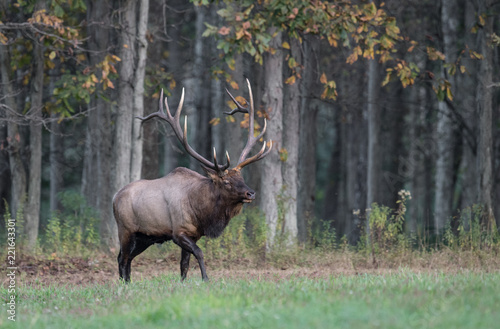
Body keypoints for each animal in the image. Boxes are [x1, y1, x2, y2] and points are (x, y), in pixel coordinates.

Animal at [112, 78, 274, 280]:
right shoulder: (178, 232)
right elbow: (199, 253)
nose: (250, 193)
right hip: (125, 229)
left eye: (241, 177)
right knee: (122, 258)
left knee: (128, 259)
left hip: (145, 236)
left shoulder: (194, 234)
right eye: (226, 182)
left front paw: (184, 283)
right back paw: (124, 283)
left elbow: (184, 265)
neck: (202, 212)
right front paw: (206, 279)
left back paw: (128, 282)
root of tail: (114, 198)